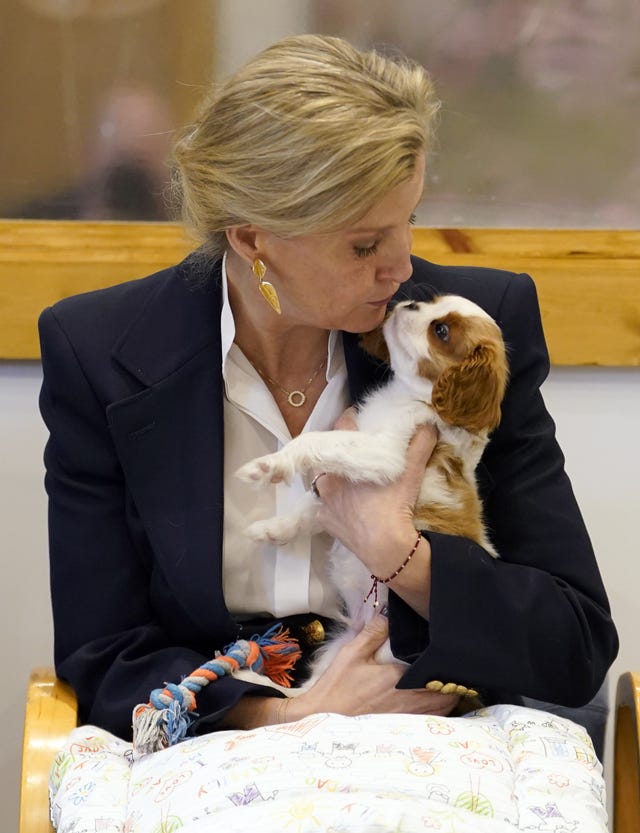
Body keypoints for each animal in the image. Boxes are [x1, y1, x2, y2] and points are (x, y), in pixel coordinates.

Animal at [232, 294, 508, 696]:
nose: (408, 303)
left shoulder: (385, 453)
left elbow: (317, 442)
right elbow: (309, 508)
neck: (407, 396)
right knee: (302, 696)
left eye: (441, 330)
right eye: (431, 302)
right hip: (338, 648)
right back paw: (248, 676)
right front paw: (273, 529)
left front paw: (272, 465)